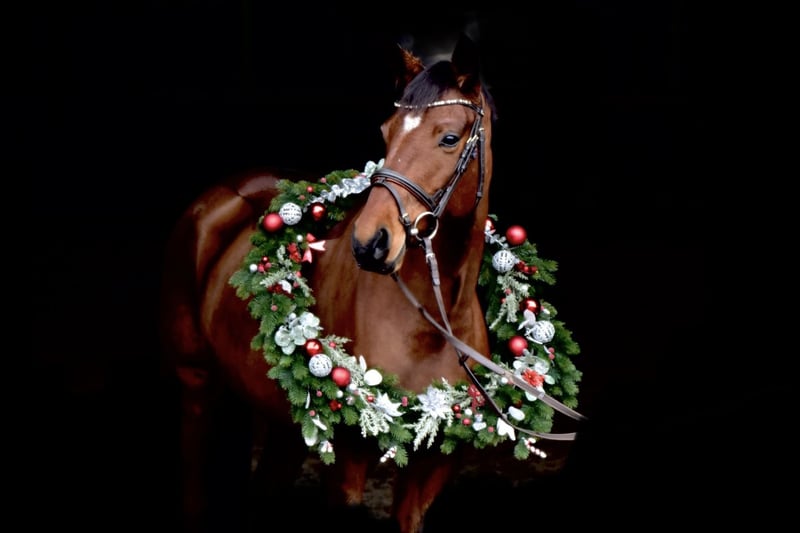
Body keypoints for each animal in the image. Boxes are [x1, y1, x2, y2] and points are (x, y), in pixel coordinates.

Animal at [160, 34, 582, 532]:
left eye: (449, 137)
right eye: (386, 133)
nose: (370, 243)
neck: (429, 326)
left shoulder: (430, 471)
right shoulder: (346, 466)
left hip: (285, 426)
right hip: (197, 384)